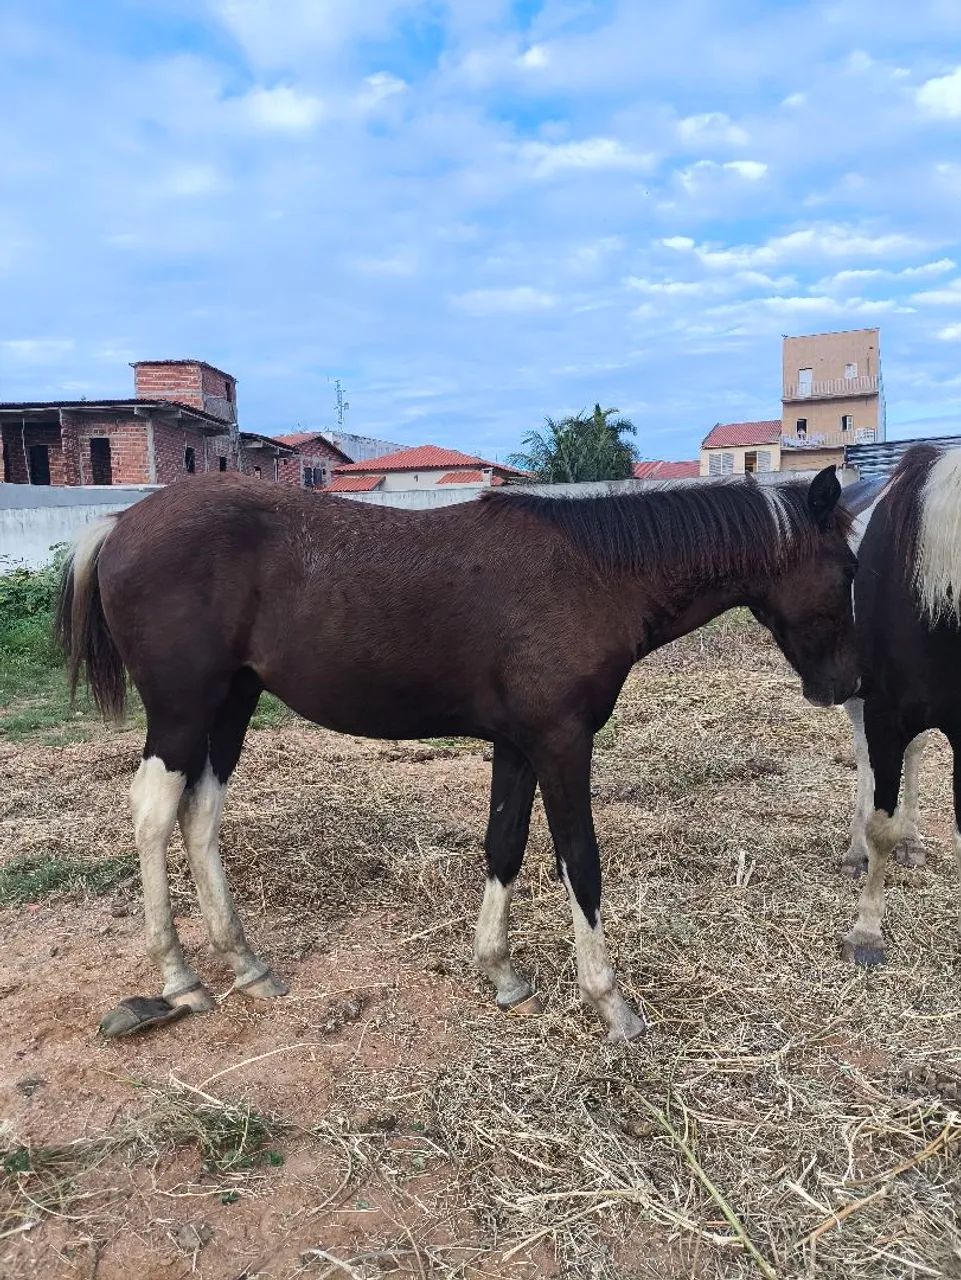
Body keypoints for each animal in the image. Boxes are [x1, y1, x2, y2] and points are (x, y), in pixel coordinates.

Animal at [56, 466, 859, 1041]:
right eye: (847, 572)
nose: (842, 686)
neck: (594, 574)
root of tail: (122, 523)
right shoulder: (562, 742)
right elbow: (580, 859)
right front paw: (610, 1005)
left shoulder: (519, 744)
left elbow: (505, 845)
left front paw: (501, 974)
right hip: (183, 712)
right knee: (154, 814)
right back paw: (180, 978)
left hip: (231, 706)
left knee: (200, 817)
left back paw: (246, 964)